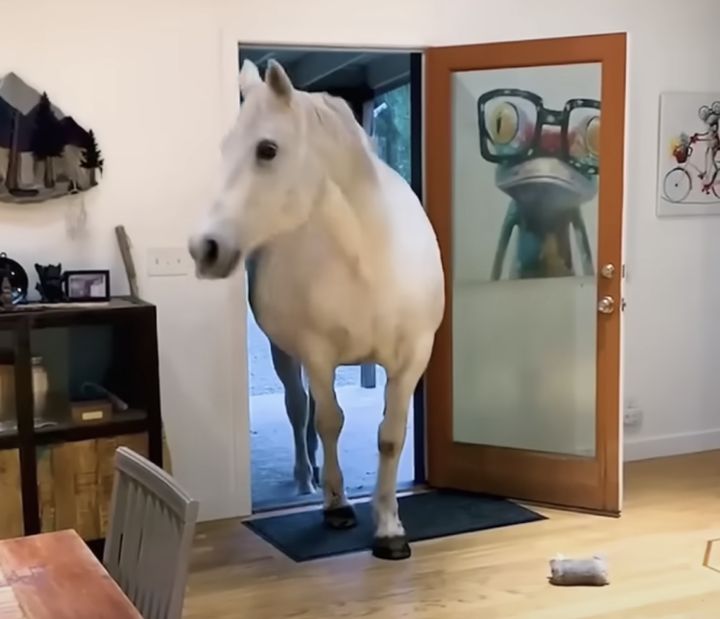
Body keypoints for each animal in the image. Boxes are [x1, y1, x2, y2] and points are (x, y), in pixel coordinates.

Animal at [189, 58, 445, 560]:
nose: (204, 248)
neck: (368, 259)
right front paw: (338, 506)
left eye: (267, 149)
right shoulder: (319, 355)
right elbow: (329, 422)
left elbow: (390, 436)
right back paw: (306, 477)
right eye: (226, 148)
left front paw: (389, 528)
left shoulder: (411, 360)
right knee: (297, 408)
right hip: (285, 353)